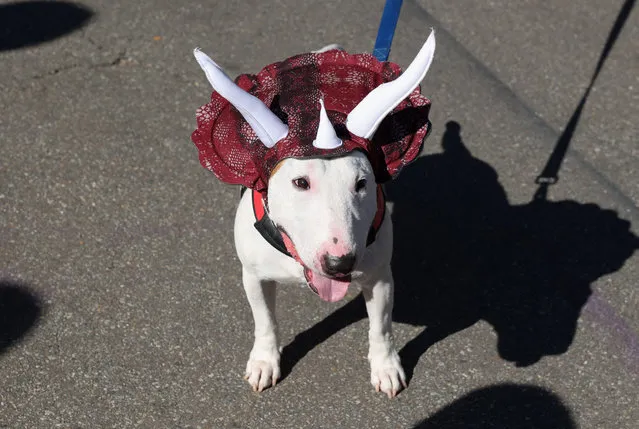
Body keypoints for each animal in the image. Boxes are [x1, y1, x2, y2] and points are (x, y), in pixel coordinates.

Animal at [192, 31, 438, 396]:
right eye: (300, 182)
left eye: (362, 183)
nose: (339, 263)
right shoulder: (254, 277)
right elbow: (265, 320)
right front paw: (265, 361)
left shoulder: (380, 276)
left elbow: (381, 326)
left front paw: (386, 367)